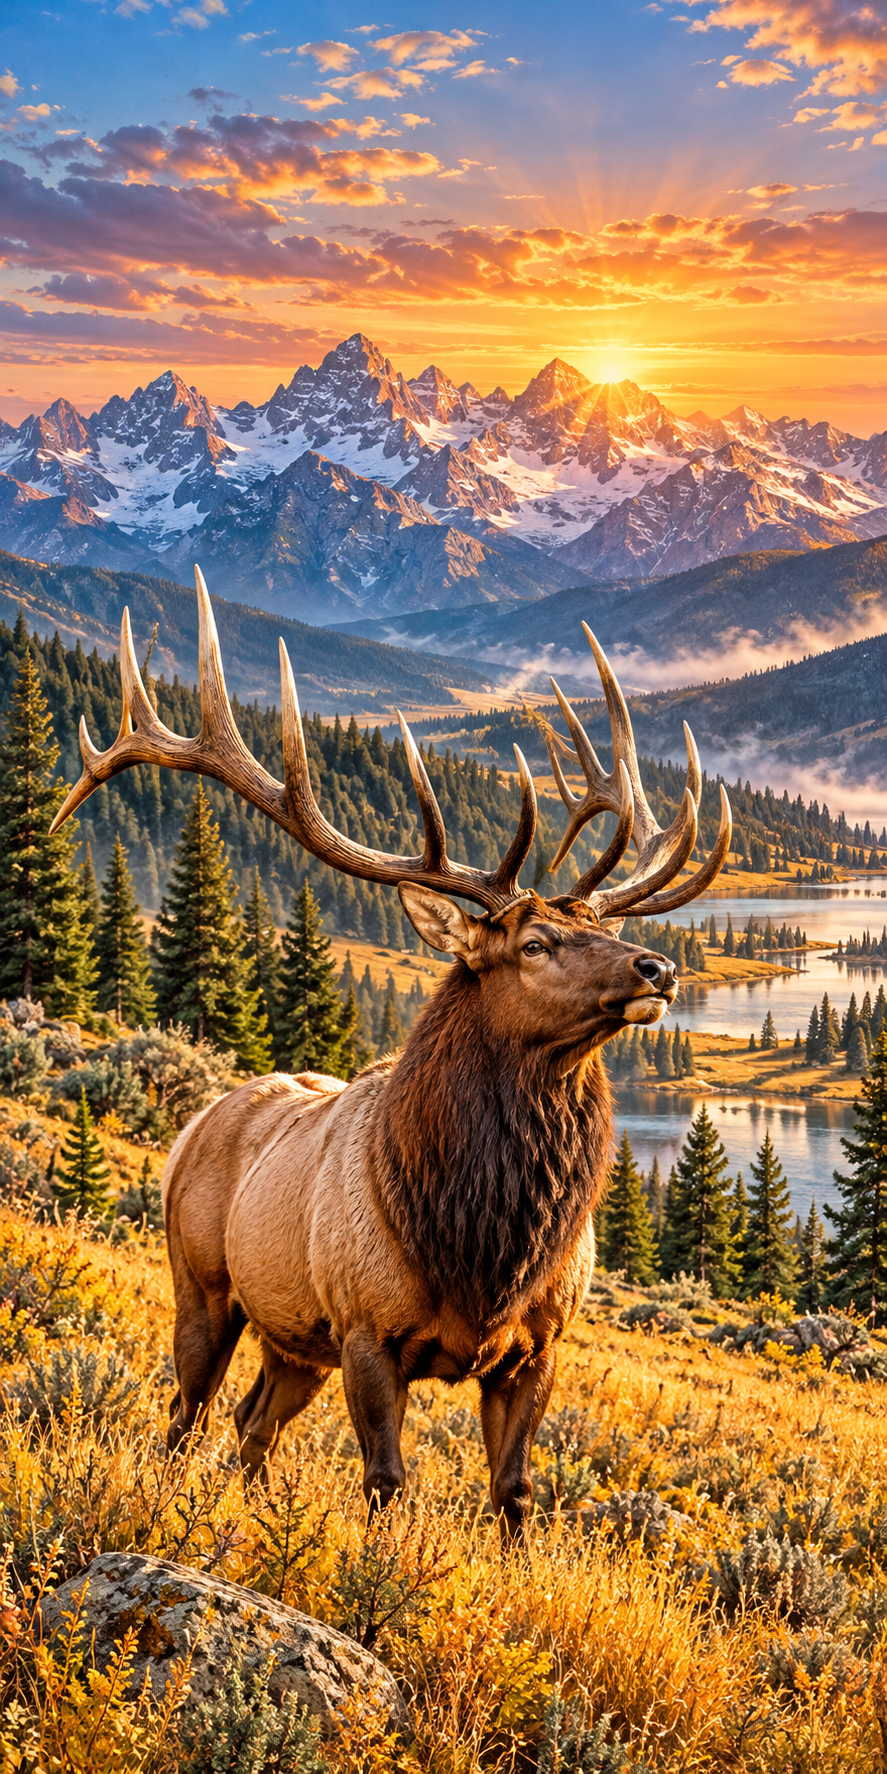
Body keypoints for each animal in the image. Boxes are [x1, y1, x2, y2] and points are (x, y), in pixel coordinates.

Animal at [51, 567, 731, 1538]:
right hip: (204, 1286)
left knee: (251, 1427)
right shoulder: (368, 1330)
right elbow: (385, 1481)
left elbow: (514, 1494)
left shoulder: (537, 1347)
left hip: (296, 1341)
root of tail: (196, 1119)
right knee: (184, 1416)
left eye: (597, 926)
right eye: (533, 945)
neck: (483, 1248)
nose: (659, 967)